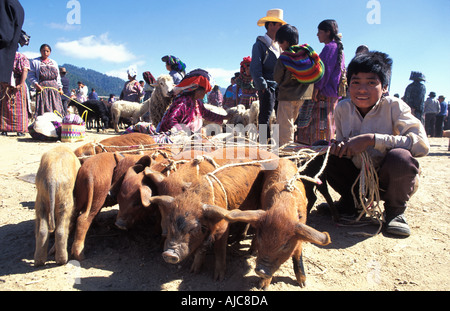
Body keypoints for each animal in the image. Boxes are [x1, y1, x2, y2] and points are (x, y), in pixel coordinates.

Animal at [204, 158, 330, 290]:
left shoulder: (300, 226)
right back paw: (251, 252)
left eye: (285, 245)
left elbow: (298, 252)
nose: (261, 271)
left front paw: (303, 284)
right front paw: (262, 286)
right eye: (261, 237)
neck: (283, 207)